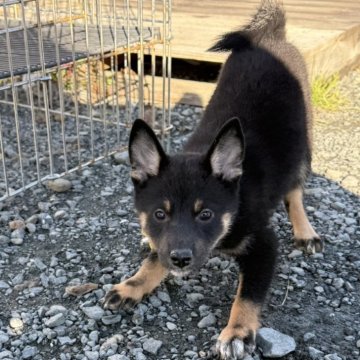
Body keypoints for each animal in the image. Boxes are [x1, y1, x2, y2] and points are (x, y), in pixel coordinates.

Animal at [104, 1, 324, 358]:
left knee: (294, 189)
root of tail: (270, 37)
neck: (235, 208)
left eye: (206, 214)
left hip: (302, 142)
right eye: (159, 214)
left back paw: (306, 232)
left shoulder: (264, 244)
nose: (180, 260)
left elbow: (248, 295)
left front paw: (237, 333)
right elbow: (154, 258)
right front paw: (132, 285)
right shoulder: (166, 240)